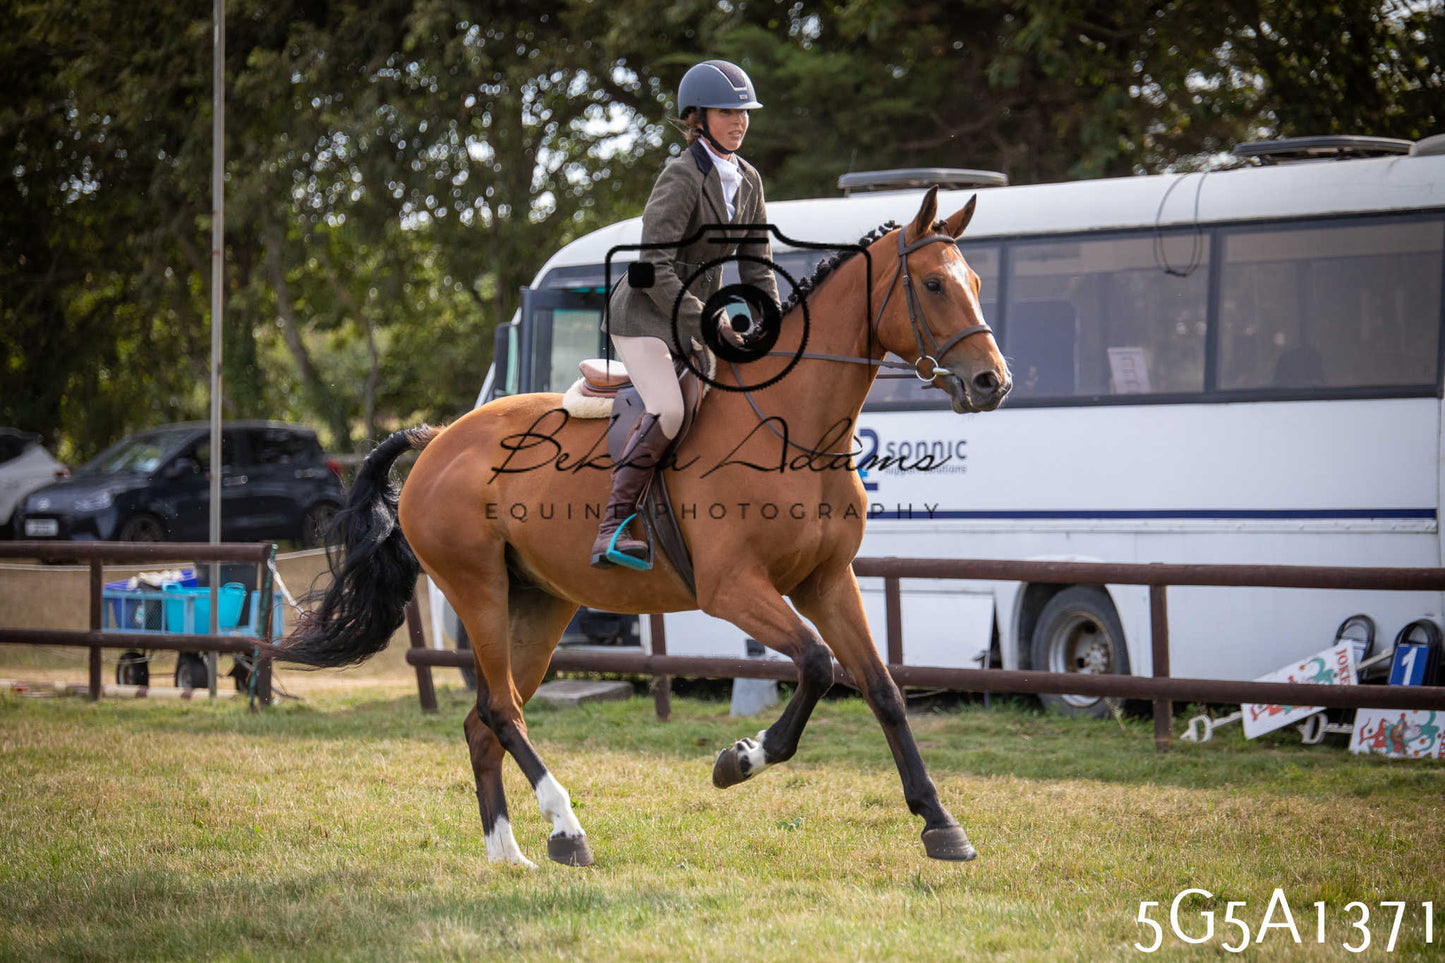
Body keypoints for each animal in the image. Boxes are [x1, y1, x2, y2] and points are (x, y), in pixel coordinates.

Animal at [278, 187, 1012, 868]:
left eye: (977, 285)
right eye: (933, 284)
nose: (992, 383)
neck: (792, 428)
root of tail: (438, 437)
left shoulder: (828, 581)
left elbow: (882, 688)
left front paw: (940, 822)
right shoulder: (731, 587)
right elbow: (813, 662)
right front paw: (740, 758)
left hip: (538, 603)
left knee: (484, 719)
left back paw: (508, 852)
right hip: (477, 588)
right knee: (502, 710)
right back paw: (566, 828)